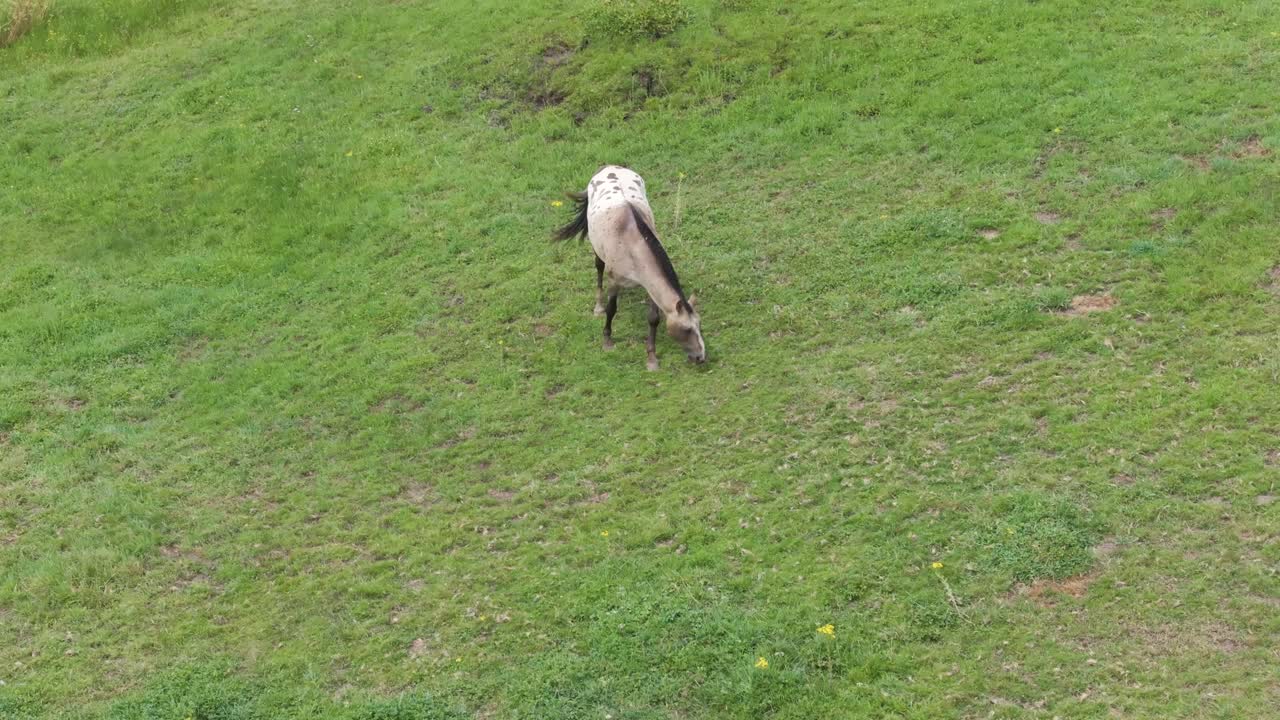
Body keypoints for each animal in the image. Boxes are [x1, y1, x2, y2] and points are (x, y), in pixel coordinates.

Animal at [553, 165, 706, 371]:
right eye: (686, 329)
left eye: (699, 325)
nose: (701, 357)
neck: (632, 244)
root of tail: (608, 167)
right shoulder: (614, 280)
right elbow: (611, 309)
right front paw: (607, 341)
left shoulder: (650, 285)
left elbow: (653, 318)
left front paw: (651, 358)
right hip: (597, 250)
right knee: (598, 269)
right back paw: (598, 306)